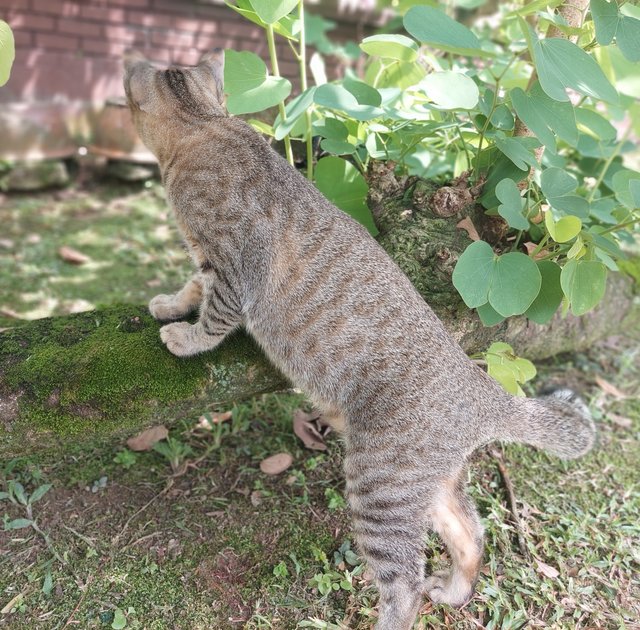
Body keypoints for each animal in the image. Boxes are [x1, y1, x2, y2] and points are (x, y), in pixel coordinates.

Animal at [121, 50, 596, 630]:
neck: (205, 123)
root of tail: (484, 392)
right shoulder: (209, 264)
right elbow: (193, 284)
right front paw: (170, 303)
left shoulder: (234, 269)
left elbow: (214, 316)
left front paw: (186, 337)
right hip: (428, 484)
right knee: (472, 535)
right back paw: (454, 590)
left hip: (378, 484)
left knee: (405, 583)